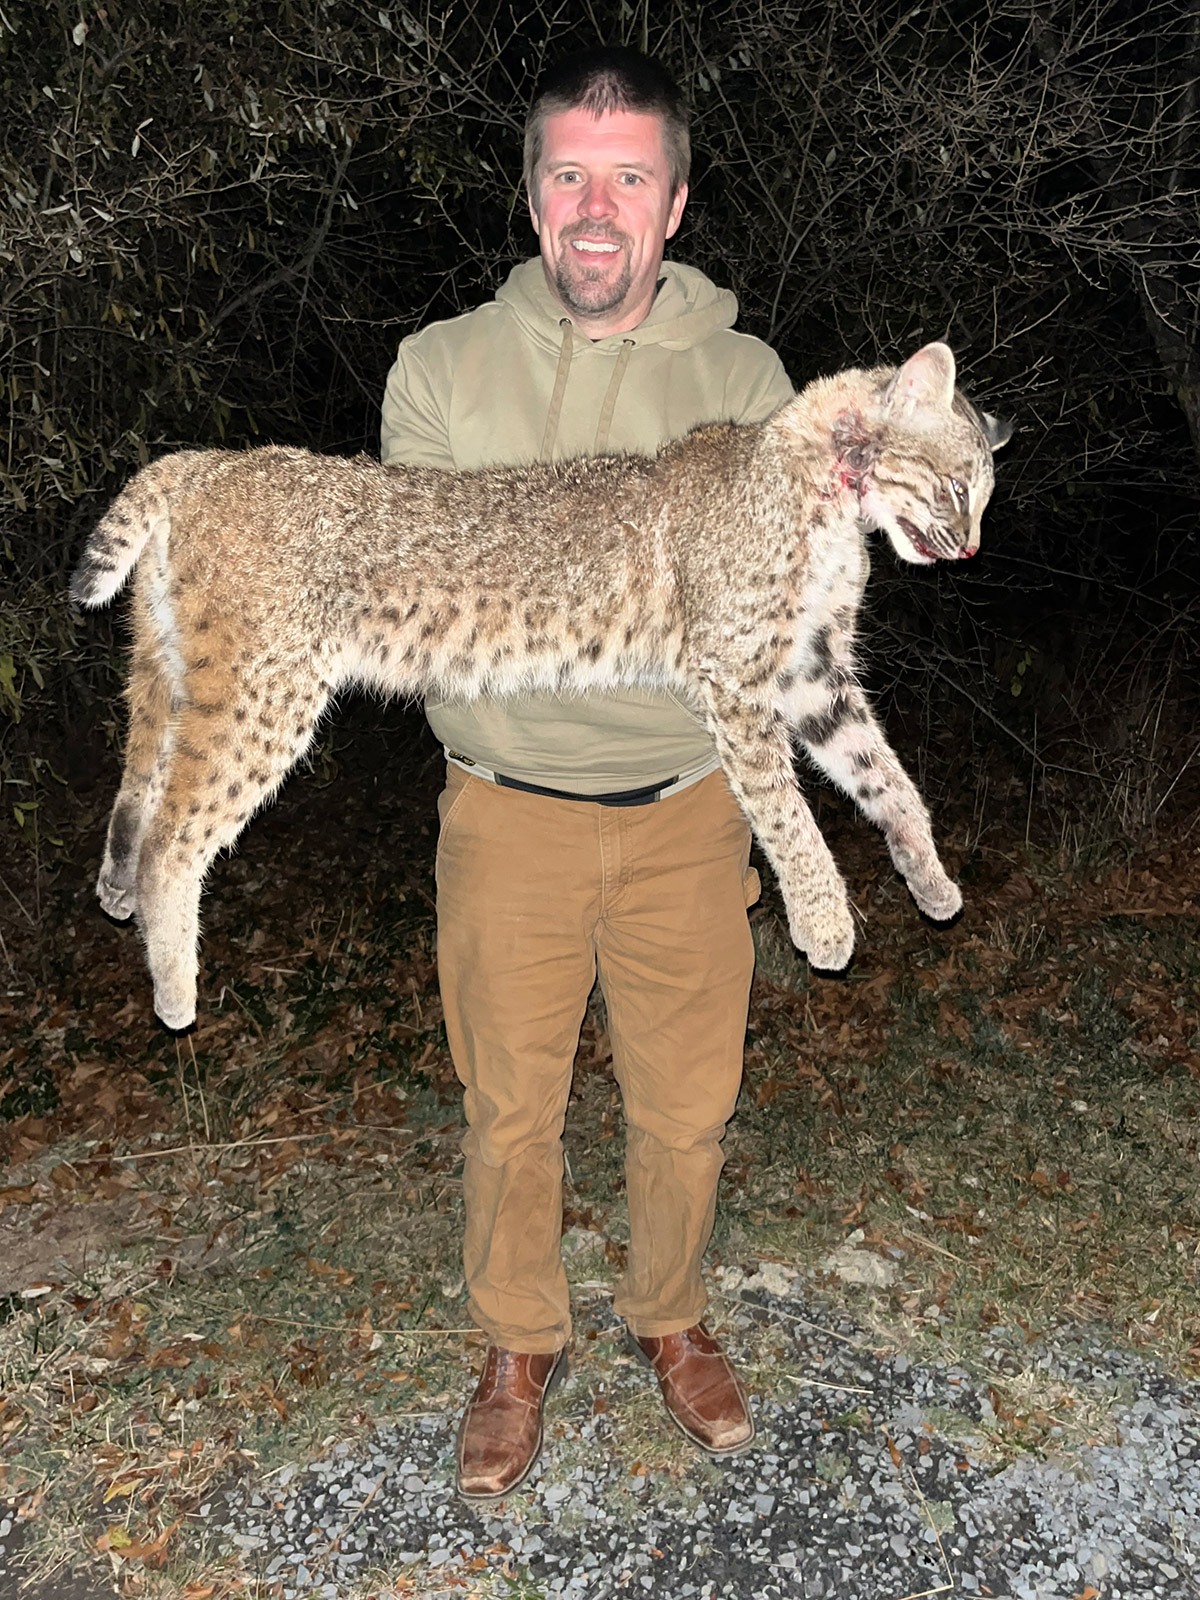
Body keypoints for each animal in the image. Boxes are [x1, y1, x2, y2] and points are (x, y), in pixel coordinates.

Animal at [70, 341, 1009, 1030]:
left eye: (980, 499)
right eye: (956, 487)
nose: (969, 548)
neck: (834, 496)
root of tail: (205, 462)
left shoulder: (811, 671)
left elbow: (884, 776)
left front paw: (928, 876)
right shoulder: (738, 676)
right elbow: (788, 814)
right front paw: (826, 923)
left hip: (167, 673)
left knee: (136, 793)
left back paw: (117, 892)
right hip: (265, 693)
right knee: (172, 838)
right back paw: (174, 990)